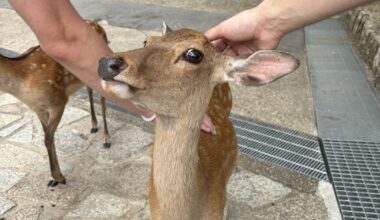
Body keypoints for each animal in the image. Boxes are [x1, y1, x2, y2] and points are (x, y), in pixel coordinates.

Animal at [0, 19, 110, 186]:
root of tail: (99, 26)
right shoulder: (38, 109)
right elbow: (48, 137)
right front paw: (54, 179)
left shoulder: (58, 100)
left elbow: (47, 138)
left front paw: (58, 177)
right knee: (90, 91)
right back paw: (93, 125)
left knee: (103, 100)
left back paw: (106, 139)